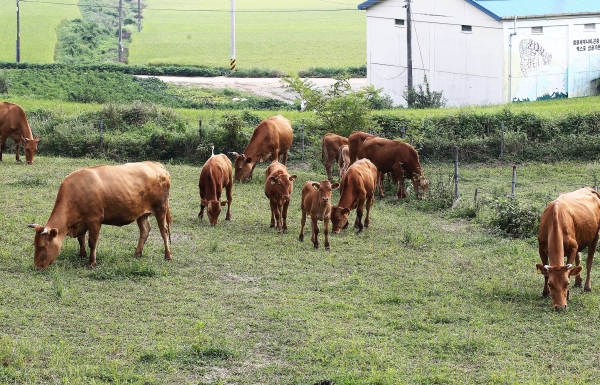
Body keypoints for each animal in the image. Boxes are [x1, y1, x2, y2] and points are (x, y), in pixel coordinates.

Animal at [29, 160, 172, 268]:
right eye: (34, 245)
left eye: (43, 246)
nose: (37, 267)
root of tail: (157, 165)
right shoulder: (81, 223)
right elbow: (81, 239)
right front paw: (82, 255)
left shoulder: (95, 220)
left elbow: (92, 242)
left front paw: (91, 262)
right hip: (141, 213)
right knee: (145, 230)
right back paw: (137, 253)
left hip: (161, 208)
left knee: (163, 231)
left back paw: (168, 255)